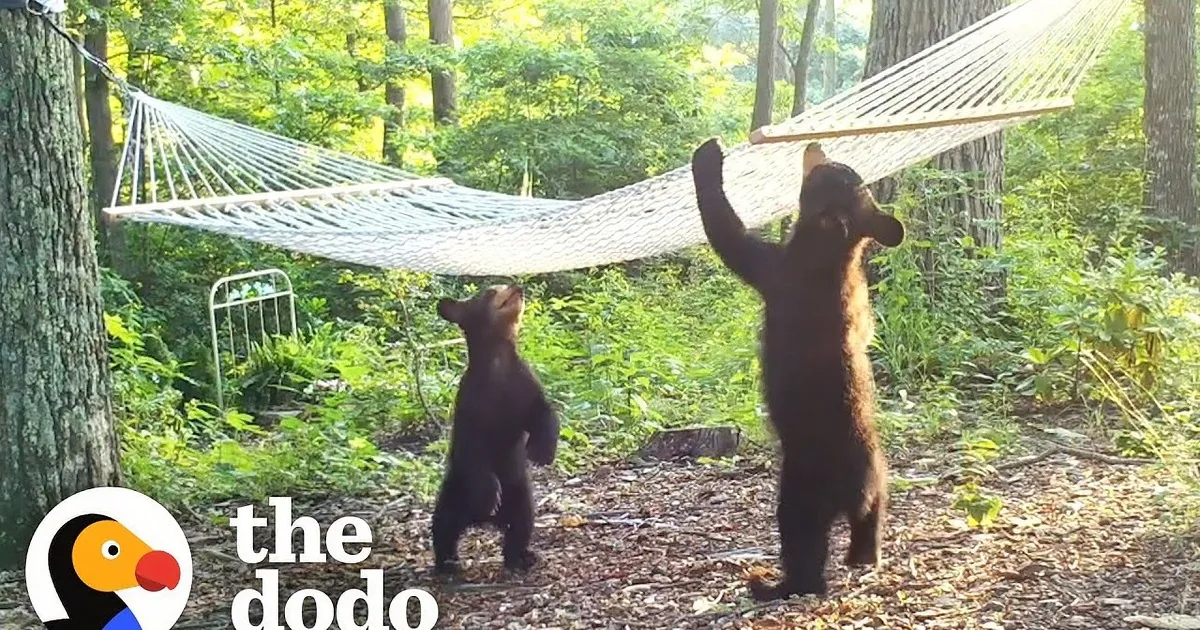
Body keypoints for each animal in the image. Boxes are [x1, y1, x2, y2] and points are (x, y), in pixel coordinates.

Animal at [431, 283, 560, 575]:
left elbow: (546, 415)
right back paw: (448, 562)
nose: (517, 285)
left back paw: (521, 557)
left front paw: (541, 452)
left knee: (520, 526)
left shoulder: (527, 390)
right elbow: (474, 455)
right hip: (455, 493)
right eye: (491, 291)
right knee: (444, 527)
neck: (498, 363)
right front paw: (490, 494)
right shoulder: (469, 417)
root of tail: (484, 521)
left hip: (520, 497)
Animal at [689, 137, 905, 600]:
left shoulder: (776, 270)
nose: (816, 146)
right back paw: (864, 555)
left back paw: (775, 584)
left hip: (802, 487)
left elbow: (726, 232)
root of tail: (857, 486)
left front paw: (708, 158)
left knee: (803, 541)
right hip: (879, 474)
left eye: (832, 171)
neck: (833, 248)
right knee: (873, 514)